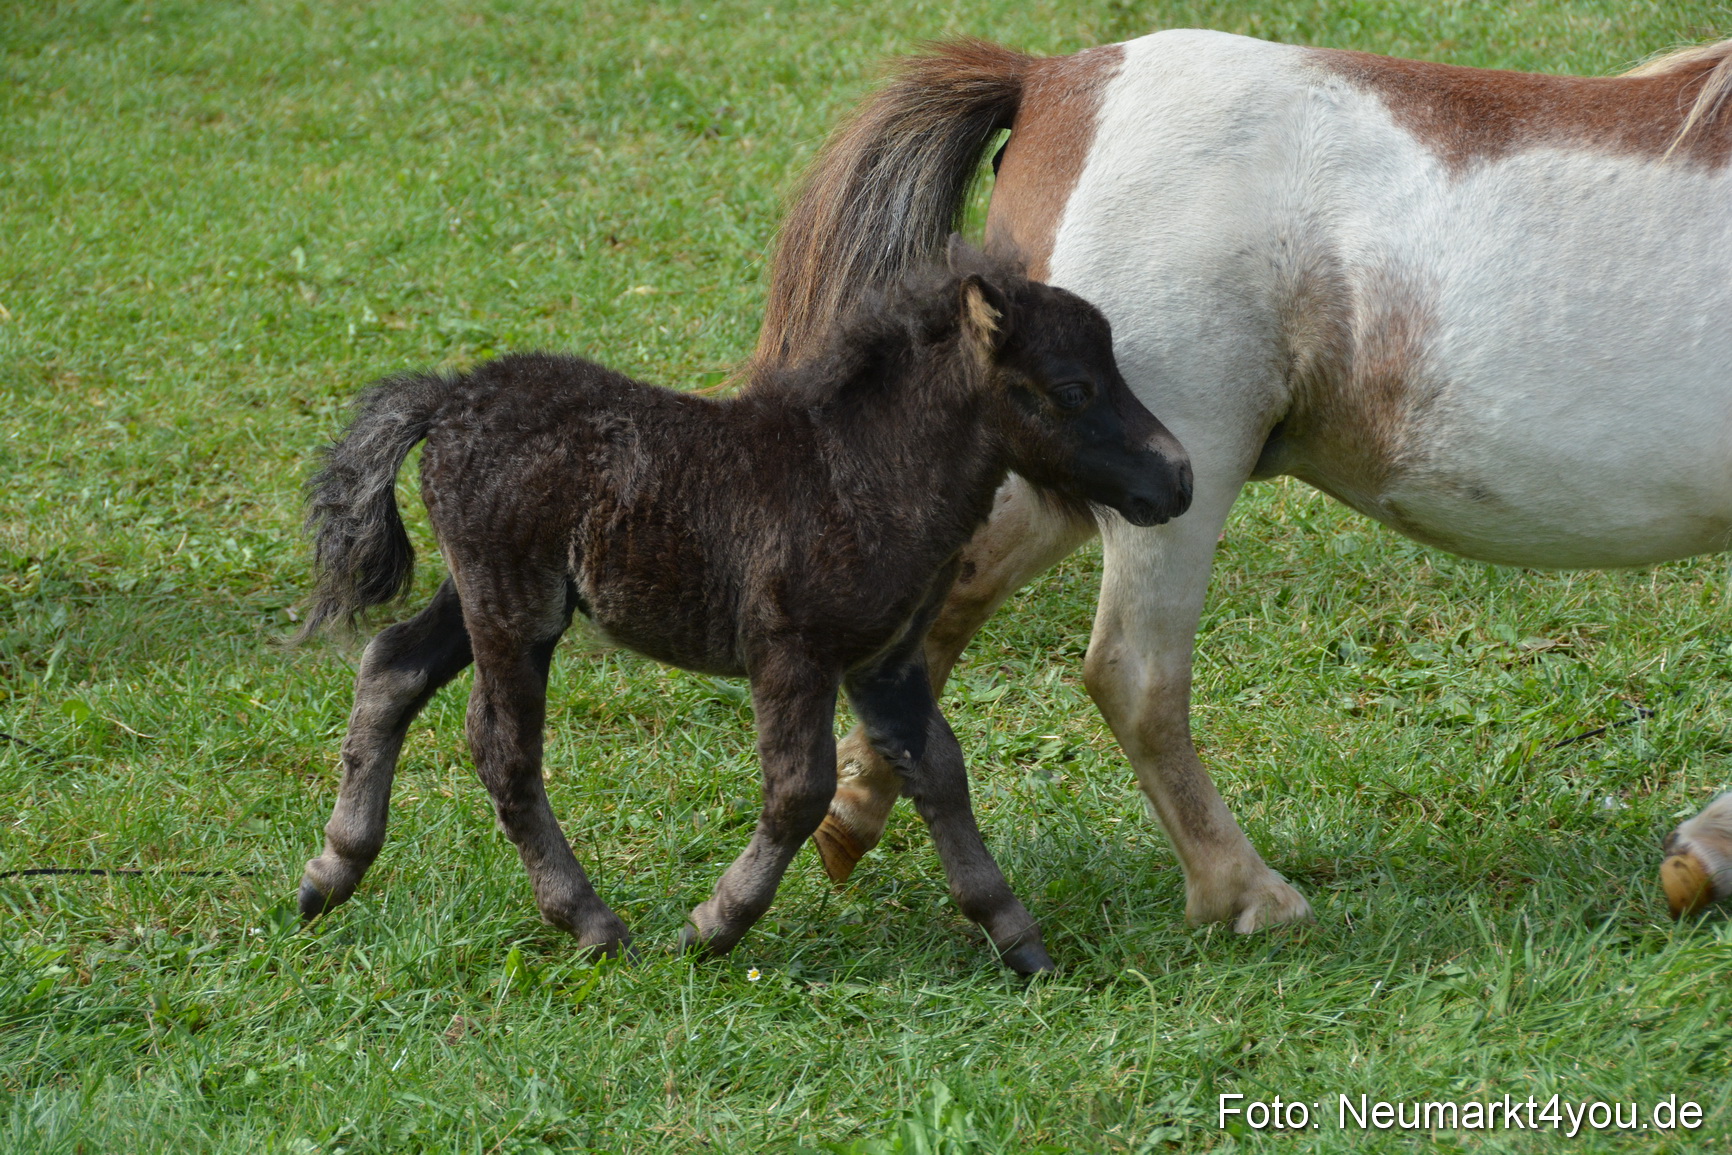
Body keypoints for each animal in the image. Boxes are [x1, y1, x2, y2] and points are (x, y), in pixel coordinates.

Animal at [294, 242, 1192, 972]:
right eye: (1072, 388)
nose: (1176, 478)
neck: (865, 472)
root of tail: (448, 399)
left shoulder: (884, 664)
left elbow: (940, 770)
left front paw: (1017, 937)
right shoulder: (791, 651)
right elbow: (800, 789)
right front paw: (713, 926)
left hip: (482, 593)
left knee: (392, 665)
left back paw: (331, 873)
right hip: (516, 609)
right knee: (501, 747)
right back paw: (591, 922)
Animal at [750, 32, 1732, 928]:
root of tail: (1054, 81)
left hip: (1064, 470)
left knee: (950, 592)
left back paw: (851, 814)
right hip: (1170, 484)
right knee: (1134, 675)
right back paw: (1243, 890)